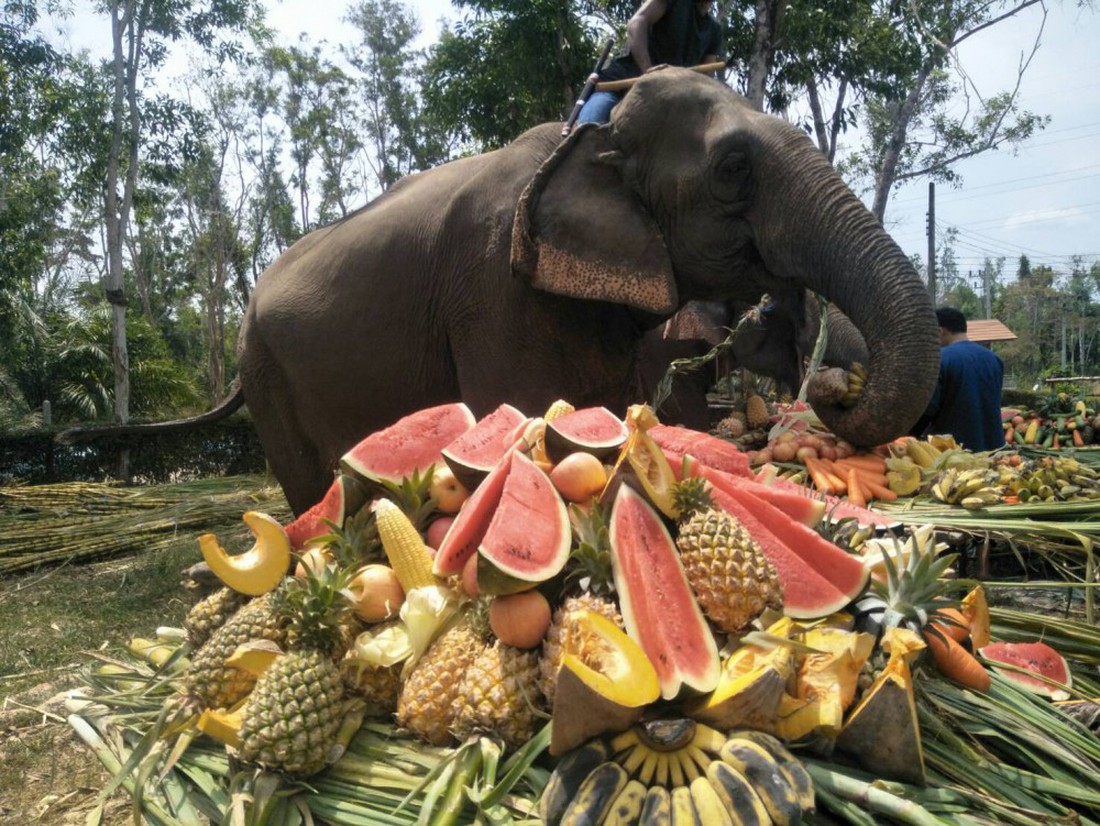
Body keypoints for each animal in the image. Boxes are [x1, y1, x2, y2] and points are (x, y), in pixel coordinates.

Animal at [62, 69, 937, 516]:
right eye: (732, 168)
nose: (836, 388)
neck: (589, 136)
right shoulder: (493, 289)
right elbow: (527, 416)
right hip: (269, 376)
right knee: (308, 483)